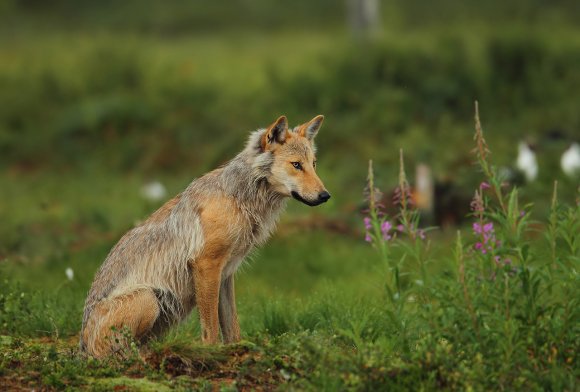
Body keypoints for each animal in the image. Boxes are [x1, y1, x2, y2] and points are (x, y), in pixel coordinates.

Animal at [80, 115, 330, 356]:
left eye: (314, 164)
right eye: (296, 165)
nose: (325, 195)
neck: (238, 199)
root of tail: (81, 350)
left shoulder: (226, 273)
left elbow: (232, 326)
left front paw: (237, 350)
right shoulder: (206, 265)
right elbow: (210, 328)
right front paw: (211, 353)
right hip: (149, 298)